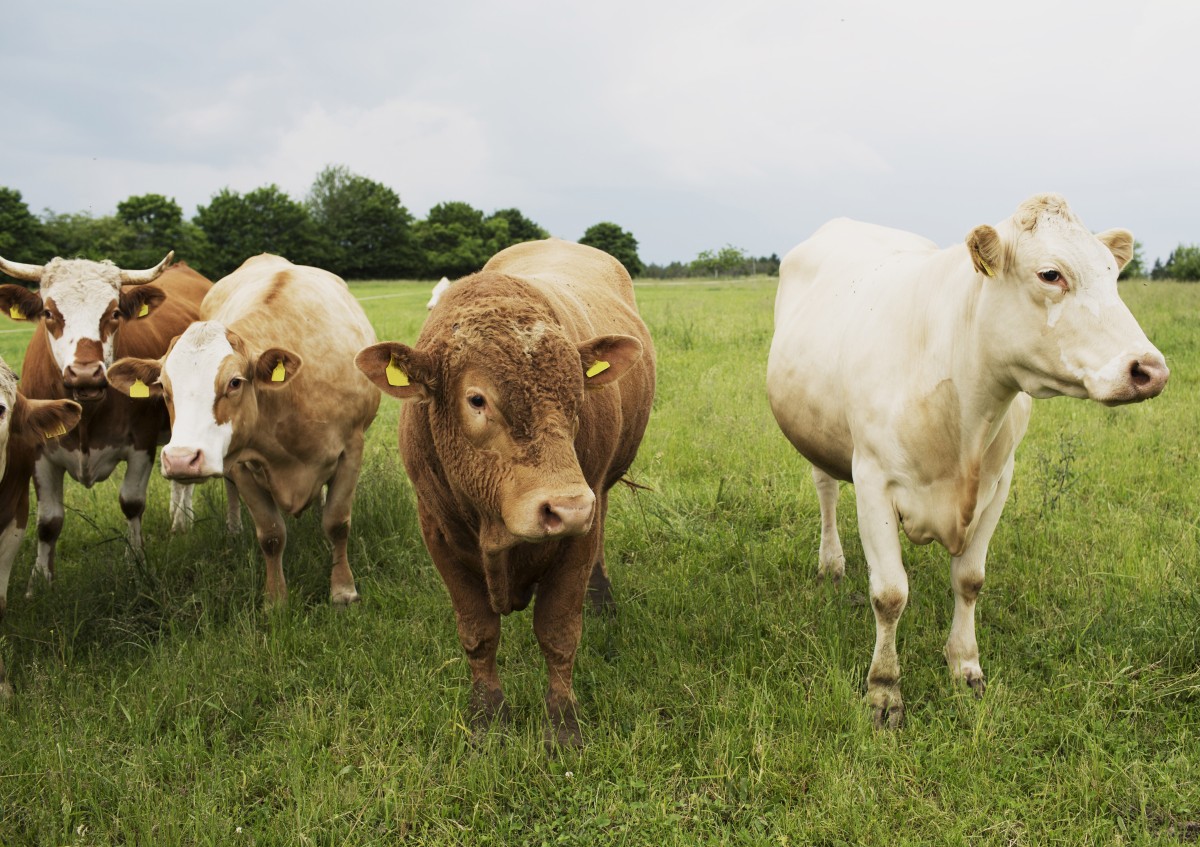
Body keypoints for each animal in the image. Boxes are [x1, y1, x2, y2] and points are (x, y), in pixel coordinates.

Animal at [109, 254, 379, 604]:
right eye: (164, 388)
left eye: (235, 382)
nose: (181, 459)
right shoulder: (241, 463)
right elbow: (271, 535)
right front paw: (276, 600)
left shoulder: (351, 449)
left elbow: (336, 523)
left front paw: (343, 591)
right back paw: (234, 531)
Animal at [355, 237, 657, 743]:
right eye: (476, 399)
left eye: (577, 396)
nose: (567, 507)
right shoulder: (436, 532)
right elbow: (478, 633)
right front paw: (487, 717)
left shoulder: (578, 532)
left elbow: (558, 633)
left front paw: (563, 726)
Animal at [763, 191, 1166, 724]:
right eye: (1050, 274)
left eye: (1111, 272)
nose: (1151, 370)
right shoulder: (872, 479)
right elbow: (889, 594)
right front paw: (884, 690)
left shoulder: (999, 482)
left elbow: (970, 580)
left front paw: (965, 665)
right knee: (826, 489)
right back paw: (831, 561)